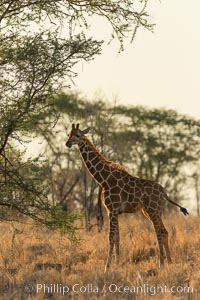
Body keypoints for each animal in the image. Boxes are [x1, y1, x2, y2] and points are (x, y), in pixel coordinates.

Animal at [65, 123, 189, 274]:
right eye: (69, 134)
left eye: (77, 135)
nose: (67, 143)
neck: (104, 179)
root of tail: (164, 193)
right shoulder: (113, 211)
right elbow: (117, 238)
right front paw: (117, 264)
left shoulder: (112, 210)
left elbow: (111, 238)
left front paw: (107, 267)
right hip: (152, 211)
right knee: (164, 231)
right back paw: (170, 262)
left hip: (152, 210)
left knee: (159, 232)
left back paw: (161, 264)